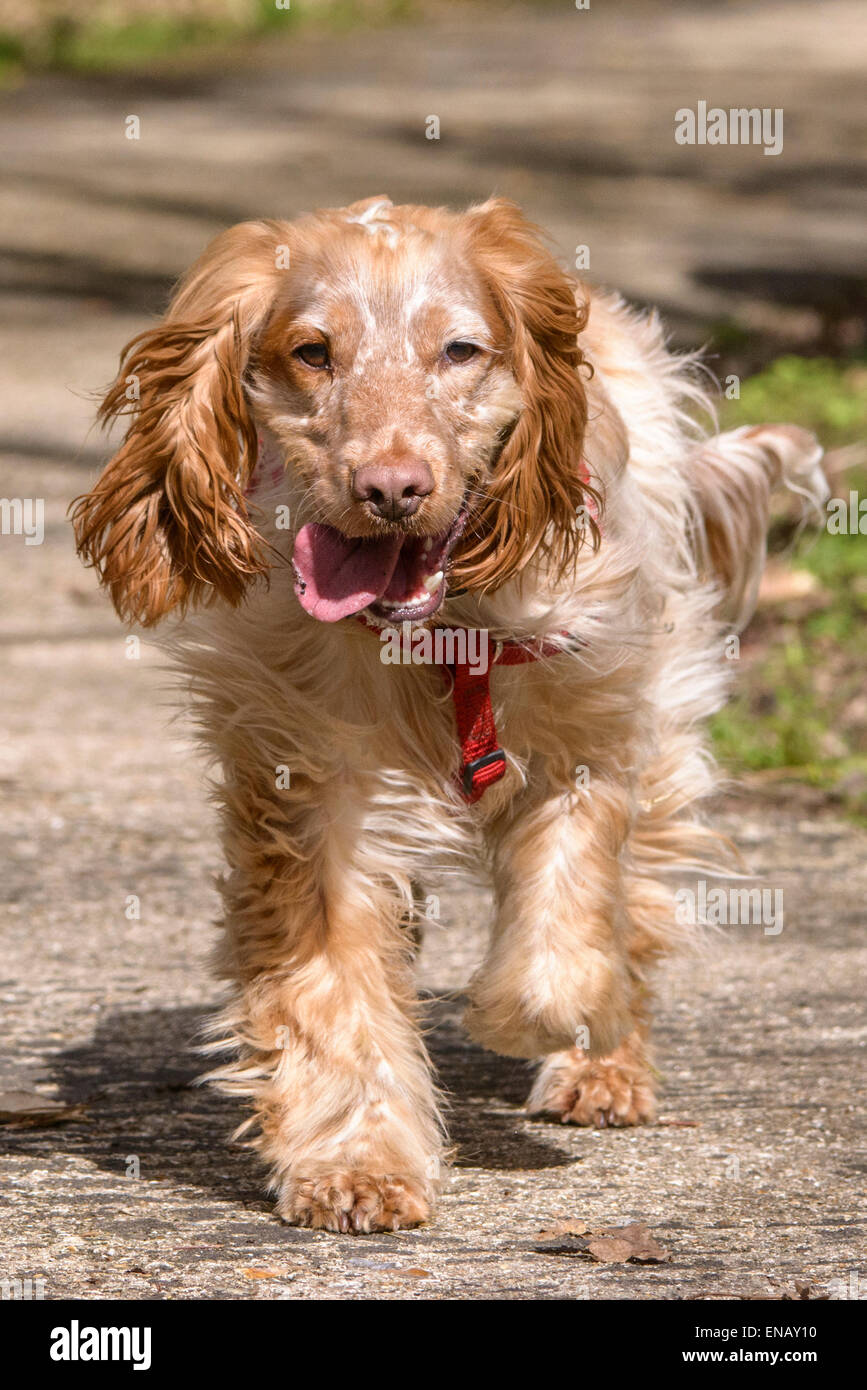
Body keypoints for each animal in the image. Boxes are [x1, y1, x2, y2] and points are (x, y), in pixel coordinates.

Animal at [71, 193, 822, 1228]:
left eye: (461, 350)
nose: (392, 490)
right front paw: (355, 1163)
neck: (438, 637)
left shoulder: (589, 726)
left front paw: (527, 1016)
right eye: (312, 351)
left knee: (641, 894)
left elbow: (567, 924)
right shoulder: (315, 787)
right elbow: (332, 985)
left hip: (664, 713)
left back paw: (604, 1069)